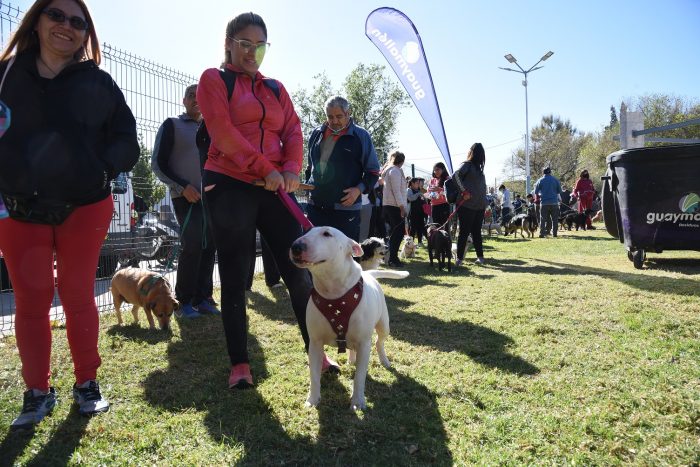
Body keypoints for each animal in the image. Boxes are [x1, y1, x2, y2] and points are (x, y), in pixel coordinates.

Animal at [290, 226, 408, 410]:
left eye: (327, 234)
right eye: (306, 232)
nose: (296, 247)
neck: (334, 293)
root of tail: (370, 275)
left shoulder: (364, 343)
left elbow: (359, 377)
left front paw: (358, 402)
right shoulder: (315, 343)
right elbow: (314, 375)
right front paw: (312, 400)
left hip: (383, 325)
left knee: (379, 341)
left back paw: (384, 360)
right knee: (352, 347)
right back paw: (352, 359)